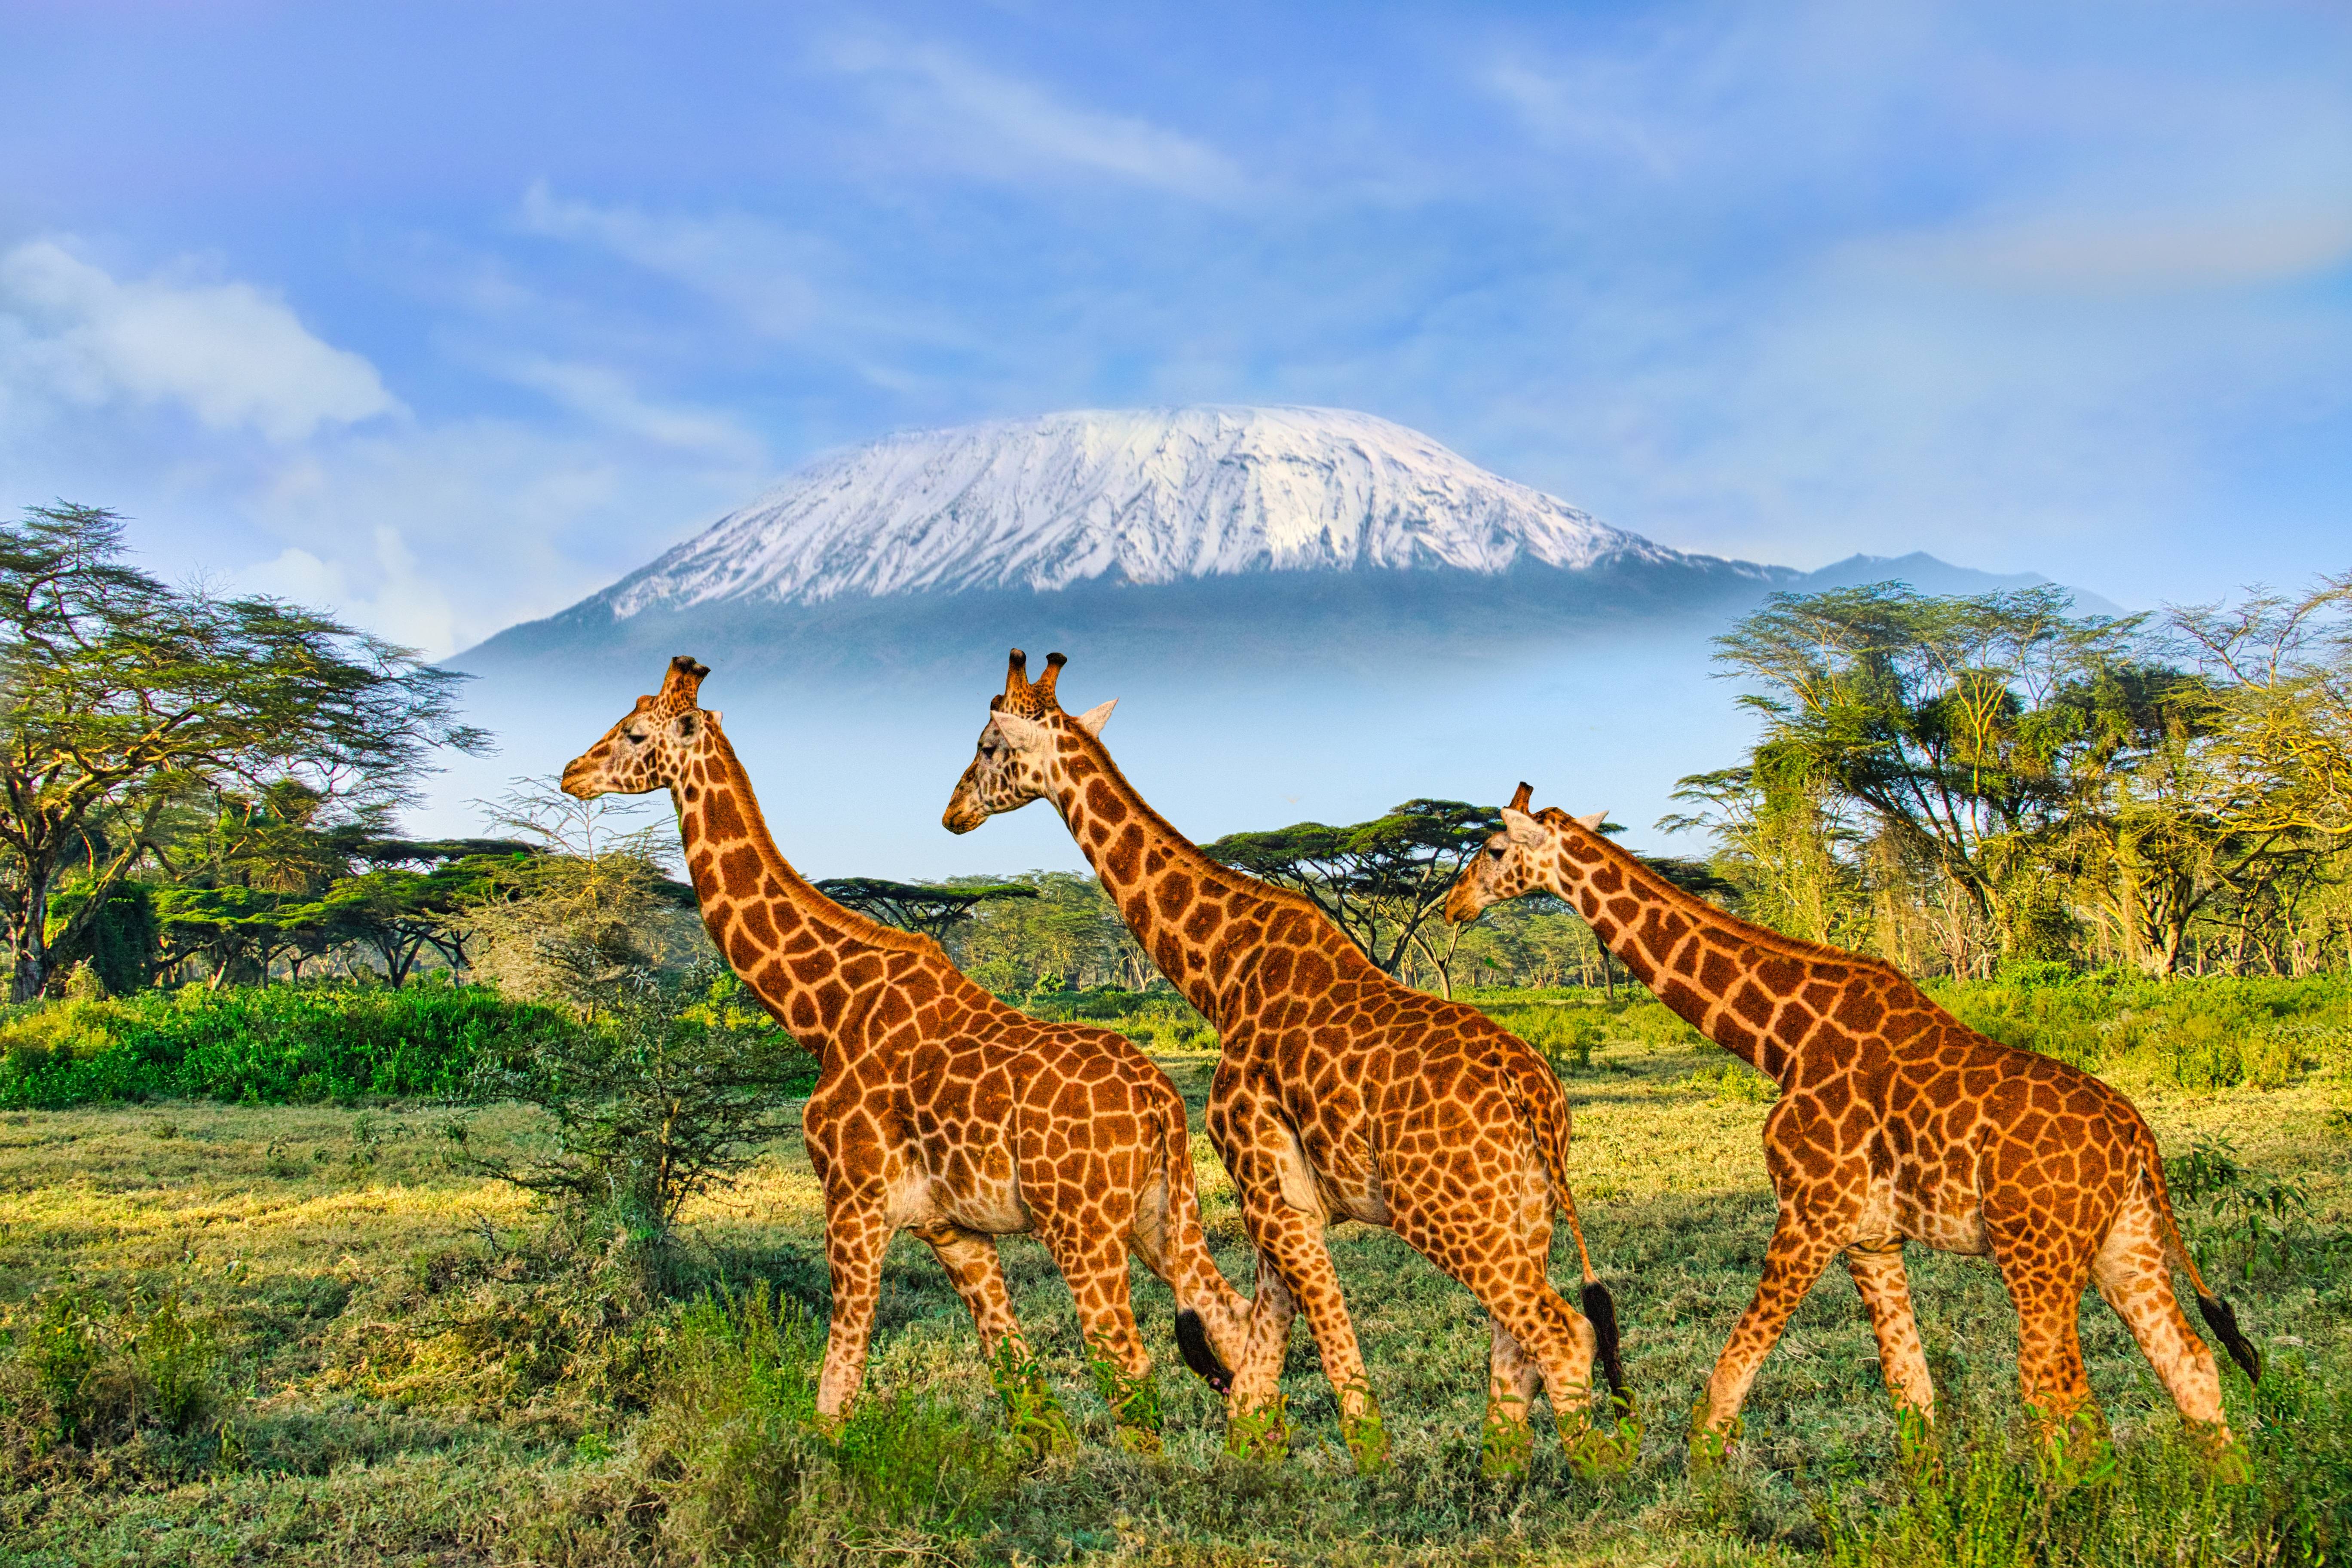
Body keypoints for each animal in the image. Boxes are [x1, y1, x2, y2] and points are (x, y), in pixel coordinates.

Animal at [560, 656, 1250, 1452]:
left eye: (633, 733)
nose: (571, 771)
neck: (826, 1013)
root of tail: (1159, 1099)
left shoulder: (853, 1202)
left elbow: (837, 1388)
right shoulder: (953, 1229)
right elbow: (1019, 1381)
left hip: (1083, 1226)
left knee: (1130, 1368)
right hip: (1162, 1211)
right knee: (1229, 1317)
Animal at [941, 650, 1630, 1478]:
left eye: (986, 744)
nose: (951, 813)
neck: (1221, 975)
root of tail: (1534, 1093)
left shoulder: (1271, 1192)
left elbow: (1322, 1345)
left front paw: (1368, 1465)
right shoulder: (1273, 1191)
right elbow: (1261, 1352)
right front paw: (1257, 1454)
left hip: (1448, 1210)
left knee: (1559, 1331)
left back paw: (1596, 1469)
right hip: (1524, 1206)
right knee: (1518, 1336)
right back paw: (1501, 1468)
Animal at [1445, 784, 2264, 1474]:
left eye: (1494, 849)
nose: (1452, 905)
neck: (1783, 1040)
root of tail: (2137, 1139)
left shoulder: (1812, 1211)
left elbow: (1727, 1382)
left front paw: (1706, 1494)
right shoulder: (1870, 1237)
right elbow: (1912, 1392)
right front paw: (1930, 1505)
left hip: (2039, 1253)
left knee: (2059, 1395)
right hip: (2125, 1243)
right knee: (2189, 1363)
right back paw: (2229, 1498)